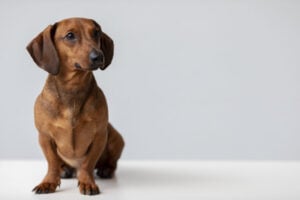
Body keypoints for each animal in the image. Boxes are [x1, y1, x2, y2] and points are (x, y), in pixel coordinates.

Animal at [26, 17, 124, 195]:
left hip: (115, 137)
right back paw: (64, 169)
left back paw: (106, 169)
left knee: (112, 162)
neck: (72, 89)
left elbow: (88, 164)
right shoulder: (45, 136)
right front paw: (48, 182)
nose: (98, 56)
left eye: (96, 33)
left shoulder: (99, 135)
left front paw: (87, 182)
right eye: (70, 35)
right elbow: (52, 163)